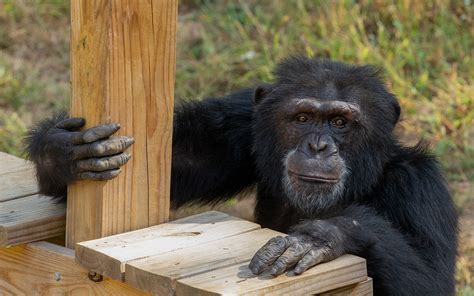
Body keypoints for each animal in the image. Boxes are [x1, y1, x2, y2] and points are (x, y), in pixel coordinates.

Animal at [25, 56, 460, 294]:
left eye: (340, 122)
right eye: (303, 118)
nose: (318, 146)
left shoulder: (419, 190)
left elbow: (431, 285)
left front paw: (322, 236)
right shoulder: (240, 126)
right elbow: (175, 160)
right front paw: (60, 152)